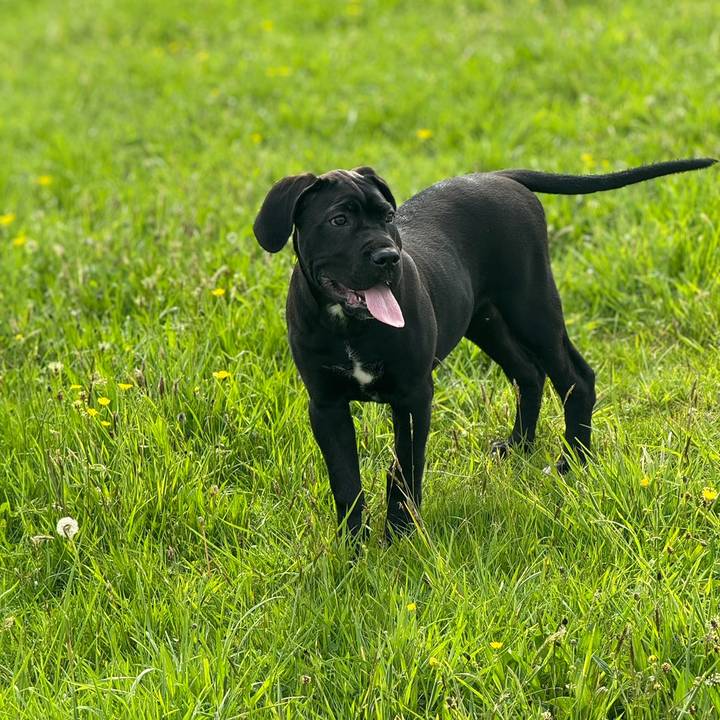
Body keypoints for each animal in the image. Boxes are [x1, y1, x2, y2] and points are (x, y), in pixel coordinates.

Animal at [253, 158, 716, 539]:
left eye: (387, 216)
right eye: (339, 219)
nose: (389, 257)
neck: (351, 326)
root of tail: (500, 177)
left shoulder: (413, 396)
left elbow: (404, 469)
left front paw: (400, 535)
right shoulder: (326, 405)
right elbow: (346, 480)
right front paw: (353, 548)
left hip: (531, 305)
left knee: (575, 378)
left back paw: (572, 463)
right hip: (486, 319)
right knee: (529, 373)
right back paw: (519, 447)